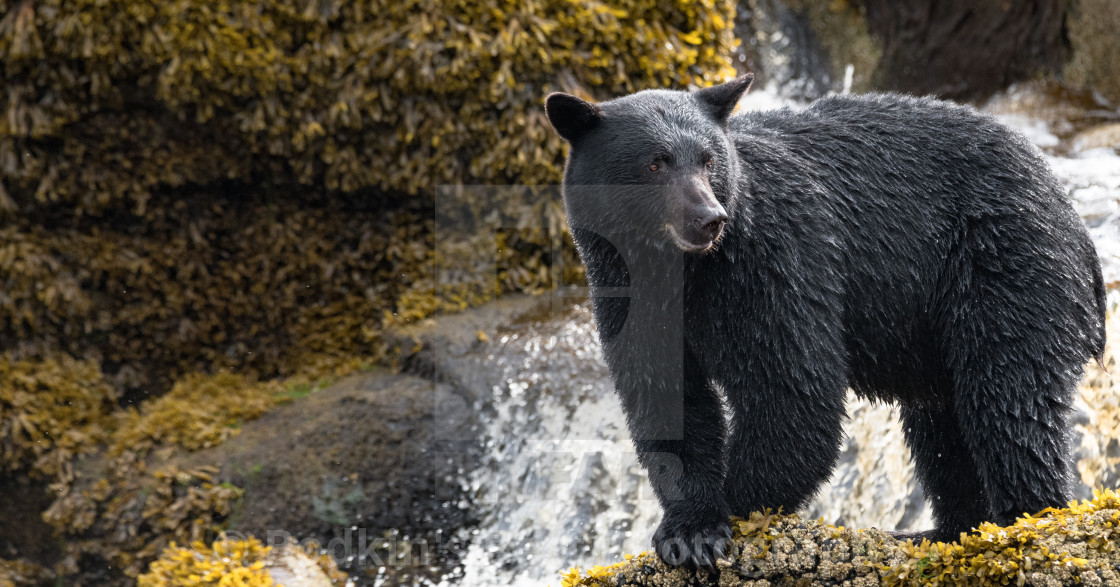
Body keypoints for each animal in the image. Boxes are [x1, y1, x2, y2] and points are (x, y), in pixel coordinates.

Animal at [546, 73, 1106, 573]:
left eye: (708, 159)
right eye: (655, 162)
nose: (709, 218)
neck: (685, 268)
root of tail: (1071, 213)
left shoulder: (777, 258)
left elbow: (792, 387)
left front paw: (727, 517)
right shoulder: (627, 290)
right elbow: (666, 395)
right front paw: (689, 528)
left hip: (1004, 267)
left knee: (1008, 402)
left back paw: (1023, 527)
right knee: (943, 429)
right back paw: (947, 531)